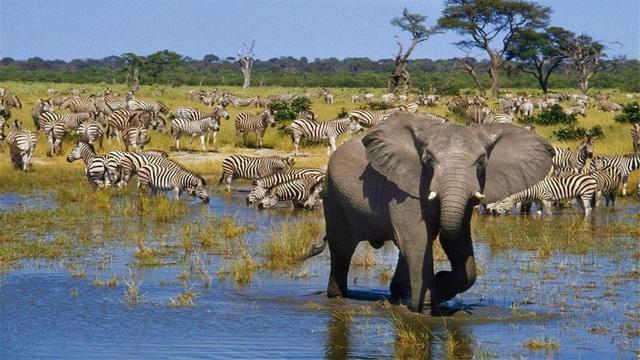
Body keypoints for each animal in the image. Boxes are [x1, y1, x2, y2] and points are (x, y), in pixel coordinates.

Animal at [302, 112, 556, 312]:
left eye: (482, 162)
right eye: (429, 160)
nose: (440, 277)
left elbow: (457, 243)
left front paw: (440, 287)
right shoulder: (405, 188)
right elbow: (418, 239)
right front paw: (426, 307)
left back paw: (399, 295)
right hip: (333, 194)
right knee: (342, 247)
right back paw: (338, 297)